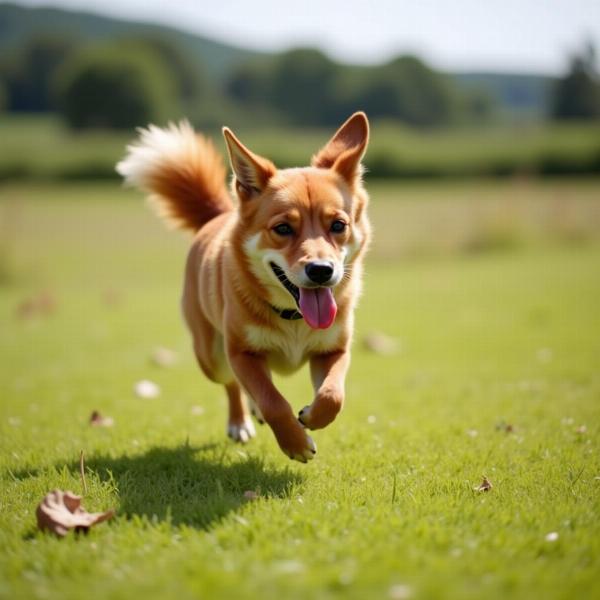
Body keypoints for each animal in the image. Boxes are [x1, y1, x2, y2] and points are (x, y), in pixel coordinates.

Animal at [116, 110, 370, 462]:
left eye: (338, 225)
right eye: (282, 228)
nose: (321, 271)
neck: (293, 318)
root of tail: (220, 214)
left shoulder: (333, 350)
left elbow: (333, 395)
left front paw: (311, 416)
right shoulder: (242, 353)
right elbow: (273, 401)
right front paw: (295, 443)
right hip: (212, 355)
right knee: (233, 384)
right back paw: (242, 422)